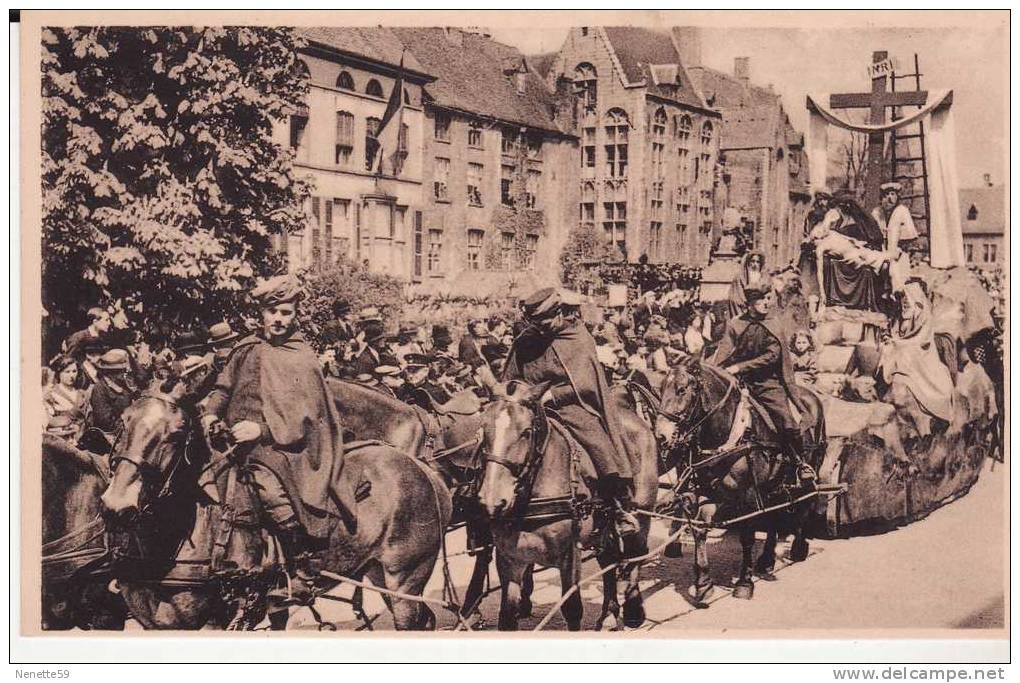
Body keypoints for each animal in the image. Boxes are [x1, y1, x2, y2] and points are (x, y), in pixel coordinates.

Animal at [99, 379, 450, 632]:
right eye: (123, 423)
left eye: (175, 434)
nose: (117, 506)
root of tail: (424, 470)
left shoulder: (220, 619)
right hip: (379, 573)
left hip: (405, 577)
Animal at [473, 379, 656, 632]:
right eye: (483, 430)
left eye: (526, 432)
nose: (493, 501)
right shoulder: (509, 559)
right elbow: (507, 616)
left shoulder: (569, 556)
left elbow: (572, 609)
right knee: (609, 560)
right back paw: (608, 615)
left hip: (641, 512)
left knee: (636, 554)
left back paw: (633, 610)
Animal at [652, 358, 828, 603]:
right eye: (660, 390)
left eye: (681, 390)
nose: (661, 435)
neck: (732, 435)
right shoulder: (707, 491)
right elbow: (699, 529)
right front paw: (703, 584)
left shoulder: (749, 497)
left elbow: (747, 537)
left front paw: (745, 583)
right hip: (773, 487)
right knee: (774, 518)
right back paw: (766, 560)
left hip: (807, 474)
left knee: (805, 504)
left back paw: (799, 548)